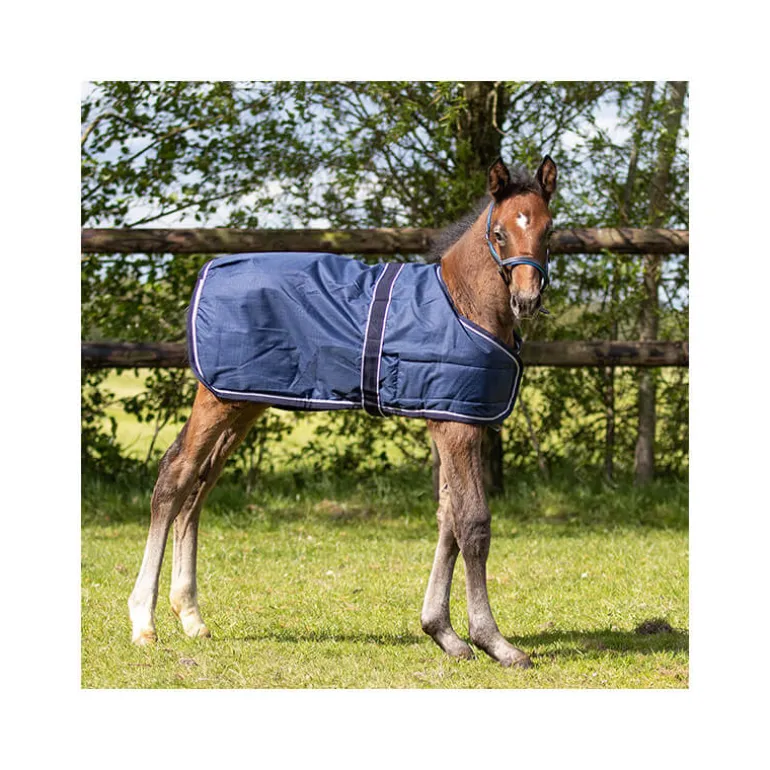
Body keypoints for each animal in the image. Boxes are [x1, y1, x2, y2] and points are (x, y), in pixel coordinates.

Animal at [128, 155, 557, 669]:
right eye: (499, 234)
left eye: (549, 230)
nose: (527, 300)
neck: (462, 304)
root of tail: (210, 268)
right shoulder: (455, 428)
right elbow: (472, 524)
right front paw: (493, 641)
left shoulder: (457, 420)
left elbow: (447, 521)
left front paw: (443, 633)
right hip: (219, 399)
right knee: (176, 476)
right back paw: (144, 622)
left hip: (242, 400)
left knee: (200, 485)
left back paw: (191, 616)